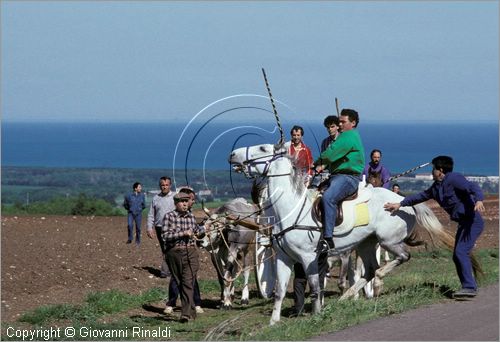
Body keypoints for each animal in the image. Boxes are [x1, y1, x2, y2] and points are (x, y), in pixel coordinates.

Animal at [229, 143, 458, 324]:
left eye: (262, 148)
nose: (232, 154)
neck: (291, 209)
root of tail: (402, 201)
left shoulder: (309, 257)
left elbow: (315, 287)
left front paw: (317, 315)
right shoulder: (284, 258)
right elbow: (279, 291)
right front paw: (274, 322)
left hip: (388, 241)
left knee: (400, 258)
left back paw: (376, 282)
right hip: (367, 243)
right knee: (369, 270)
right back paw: (346, 296)